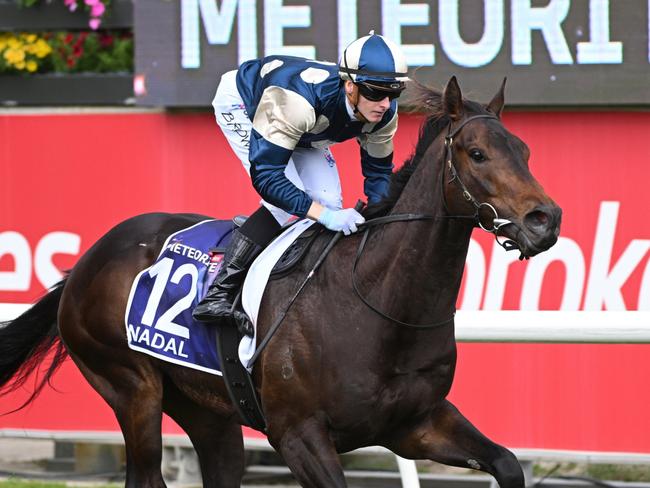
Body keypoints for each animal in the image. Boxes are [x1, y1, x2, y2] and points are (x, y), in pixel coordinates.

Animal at [0, 77, 556, 488]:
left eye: (525, 151)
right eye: (477, 153)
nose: (545, 219)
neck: (376, 303)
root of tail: (87, 261)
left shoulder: (416, 423)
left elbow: (507, 463)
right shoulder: (298, 435)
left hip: (209, 412)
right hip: (131, 388)